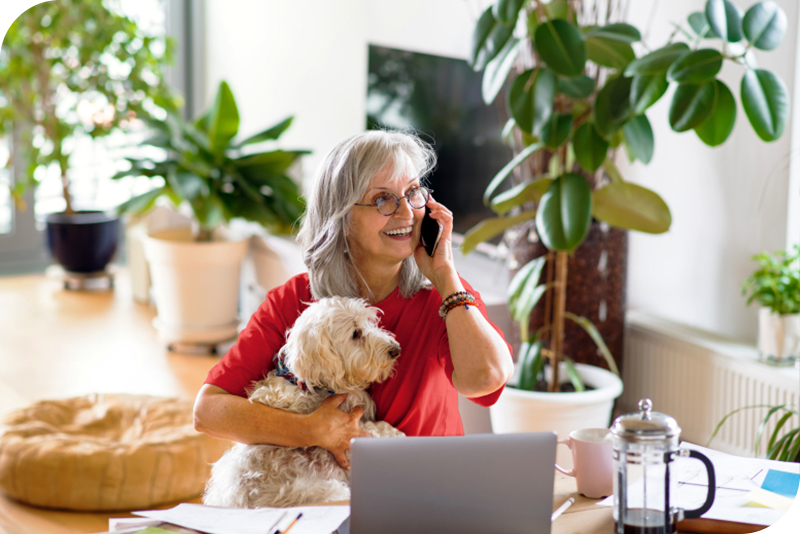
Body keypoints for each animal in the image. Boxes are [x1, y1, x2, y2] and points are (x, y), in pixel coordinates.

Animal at [203, 298, 406, 510]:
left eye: (369, 322)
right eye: (355, 333)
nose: (396, 350)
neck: (307, 384)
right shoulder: (349, 434)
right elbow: (375, 431)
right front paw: (394, 434)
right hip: (329, 491)